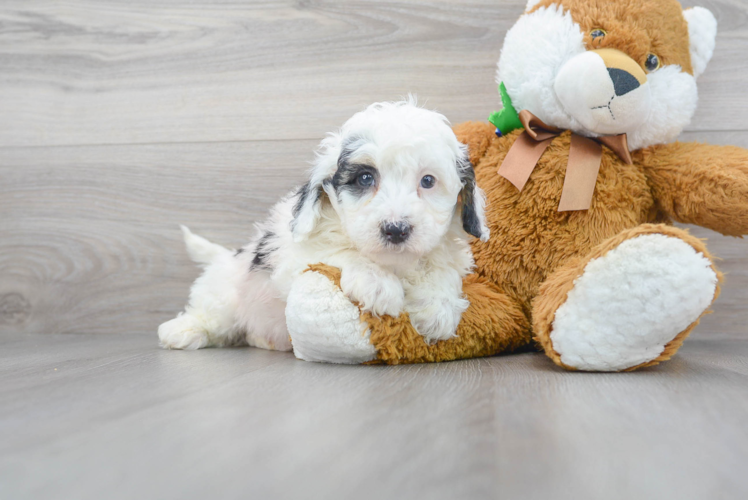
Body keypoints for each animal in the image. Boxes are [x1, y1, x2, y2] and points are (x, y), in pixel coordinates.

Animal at [158, 99, 490, 352]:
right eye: (365, 178)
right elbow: (336, 251)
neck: (392, 263)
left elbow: (441, 270)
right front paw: (378, 284)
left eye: (428, 181)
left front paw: (437, 308)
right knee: (212, 315)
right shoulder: (293, 256)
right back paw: (182, 331)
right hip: (226, 294)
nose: (396, 229)